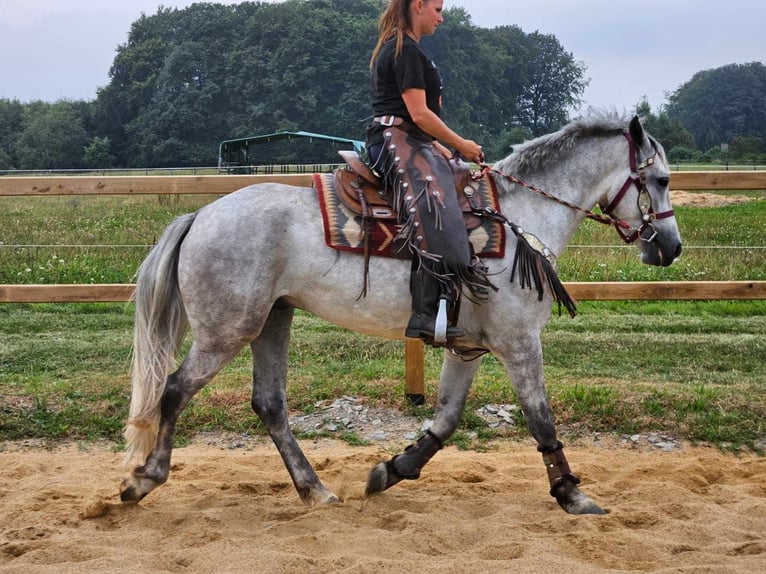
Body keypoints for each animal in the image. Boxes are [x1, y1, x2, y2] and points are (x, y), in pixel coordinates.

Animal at [118, 116, 684, 516]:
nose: (671, 248)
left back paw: (315, 489)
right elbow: (540, 417)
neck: (521, 217)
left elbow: (448, 418)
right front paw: (571, 494)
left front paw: (391, 470)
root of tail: (201, 215)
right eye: (659, 179)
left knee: (270, 405)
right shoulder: (520, 341)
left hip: (271, 321)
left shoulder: (470, 346)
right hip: (226, 331)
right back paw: (143, 479)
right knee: (173, 390)